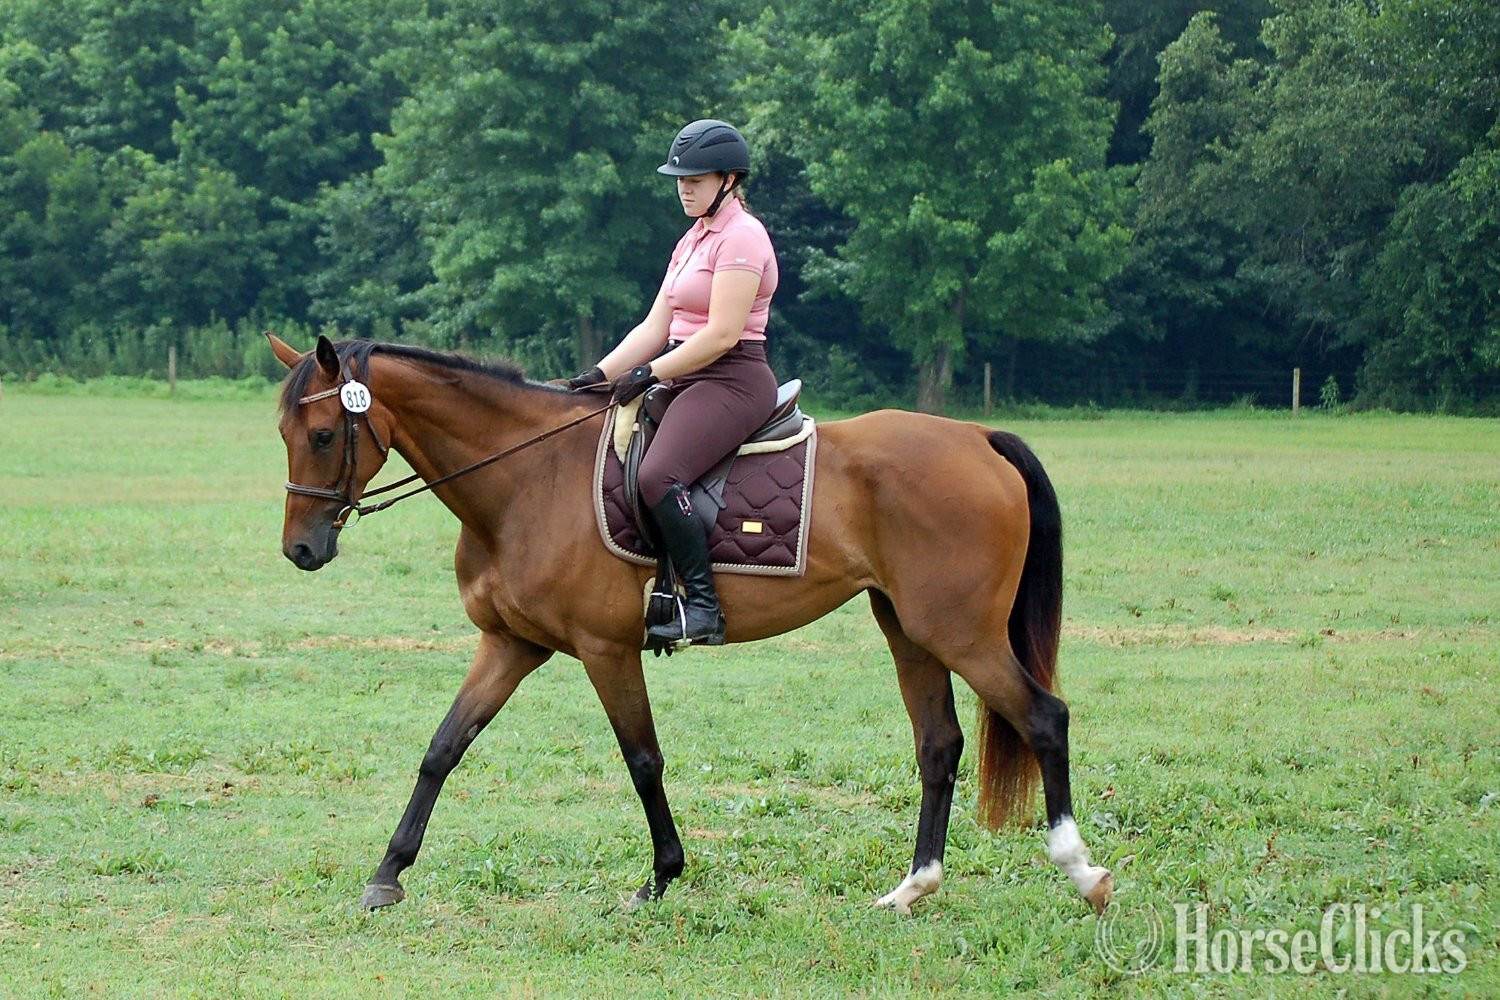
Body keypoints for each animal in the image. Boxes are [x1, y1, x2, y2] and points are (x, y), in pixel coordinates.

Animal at [268, 333, 1114, 916]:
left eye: (322, 435)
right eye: (284, 435)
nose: (300, 551)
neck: (525, 479)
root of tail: (975, 436)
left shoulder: (606, 650)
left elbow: (643, 760)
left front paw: (663, 876)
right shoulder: (510, 645)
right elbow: (443, 749)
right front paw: (388, 874)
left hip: (962, 633)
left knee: (1045, 718)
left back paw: (1082, 871)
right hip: (910, 629)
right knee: (939, 745)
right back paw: (913, 888)